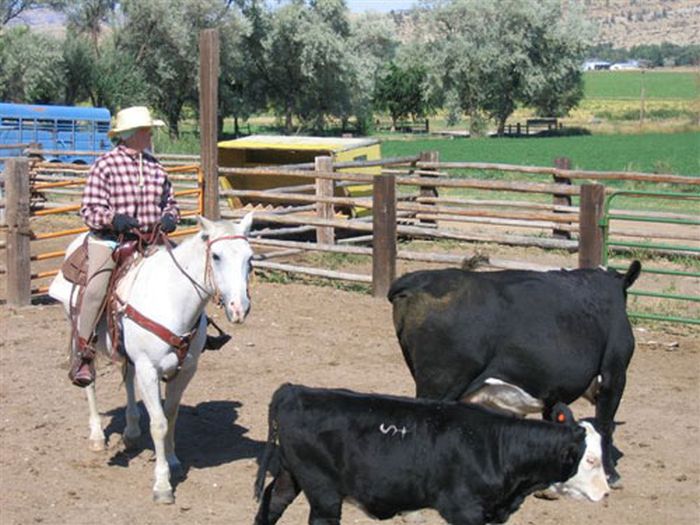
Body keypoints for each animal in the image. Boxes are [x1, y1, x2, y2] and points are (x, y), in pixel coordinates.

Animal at [50, 214, 258, 504]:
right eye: (216, 256)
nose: (240, 308)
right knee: (89, 378)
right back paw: (97, 436)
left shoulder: (185, 370)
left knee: (127, 376)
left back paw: (131, 431)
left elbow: (170, 415)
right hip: (77, 327)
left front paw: (172, 461)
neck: (172, 300)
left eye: (250, 258)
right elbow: (159, 423)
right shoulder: (149, 369)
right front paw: (162, 485)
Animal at [254, 382, 608, 520]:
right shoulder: (464, 511)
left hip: (291, 476)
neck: (496, 446)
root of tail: (294, 391)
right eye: (591, 459)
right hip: (323, 491)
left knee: (271, 505)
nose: (606, 493)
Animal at [386, 260, 644, 486]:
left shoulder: (553, 389)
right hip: (441, 384)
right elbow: (605, 424)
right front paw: (611, 475)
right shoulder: (614, 372)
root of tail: (417, 280)